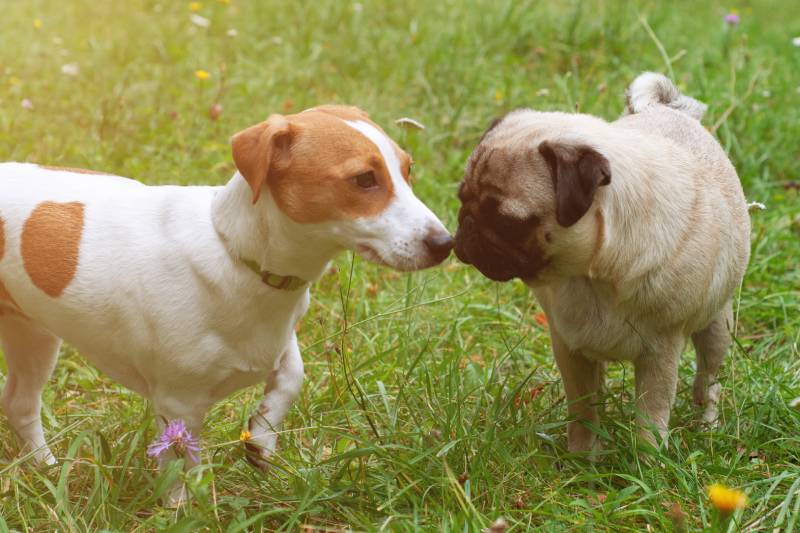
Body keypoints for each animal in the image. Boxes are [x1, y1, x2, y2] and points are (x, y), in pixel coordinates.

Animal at [0, 105, 450, 494]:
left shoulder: (279, 342)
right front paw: (186, 508)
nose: (446, 243)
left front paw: (261, 440)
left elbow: (291, 377)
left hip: (34, 336)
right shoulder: (177, 403)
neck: (237, 252)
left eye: (407, 170)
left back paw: (45, 468)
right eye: (364, 179)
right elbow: (181, 466)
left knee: (20, 404)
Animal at [456, 72, 752, 450]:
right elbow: (583, 412)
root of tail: (665, 108)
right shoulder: (569, 348)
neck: (593, 272)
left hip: (716, 326)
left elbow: (650, 421)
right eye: (461, 197)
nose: (466, 225)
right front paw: (582, 457)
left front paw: (648, 463)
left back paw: (708, 426)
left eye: (508, 221)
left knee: (708, 380)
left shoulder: (661, 355)